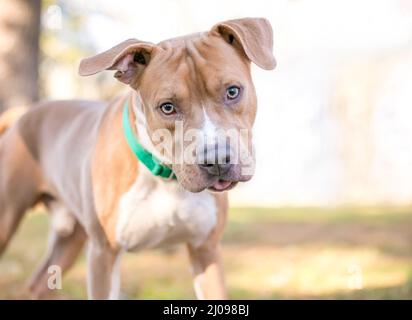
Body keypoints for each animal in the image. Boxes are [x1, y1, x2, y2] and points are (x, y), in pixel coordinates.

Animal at [0, 17, 276, 298]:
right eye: (167, 107)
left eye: (232, 91)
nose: (218, 159)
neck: (167, 179)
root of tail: (24, 113)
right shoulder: (103, 254)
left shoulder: (206, 249)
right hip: (7, 219)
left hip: (70, 236)